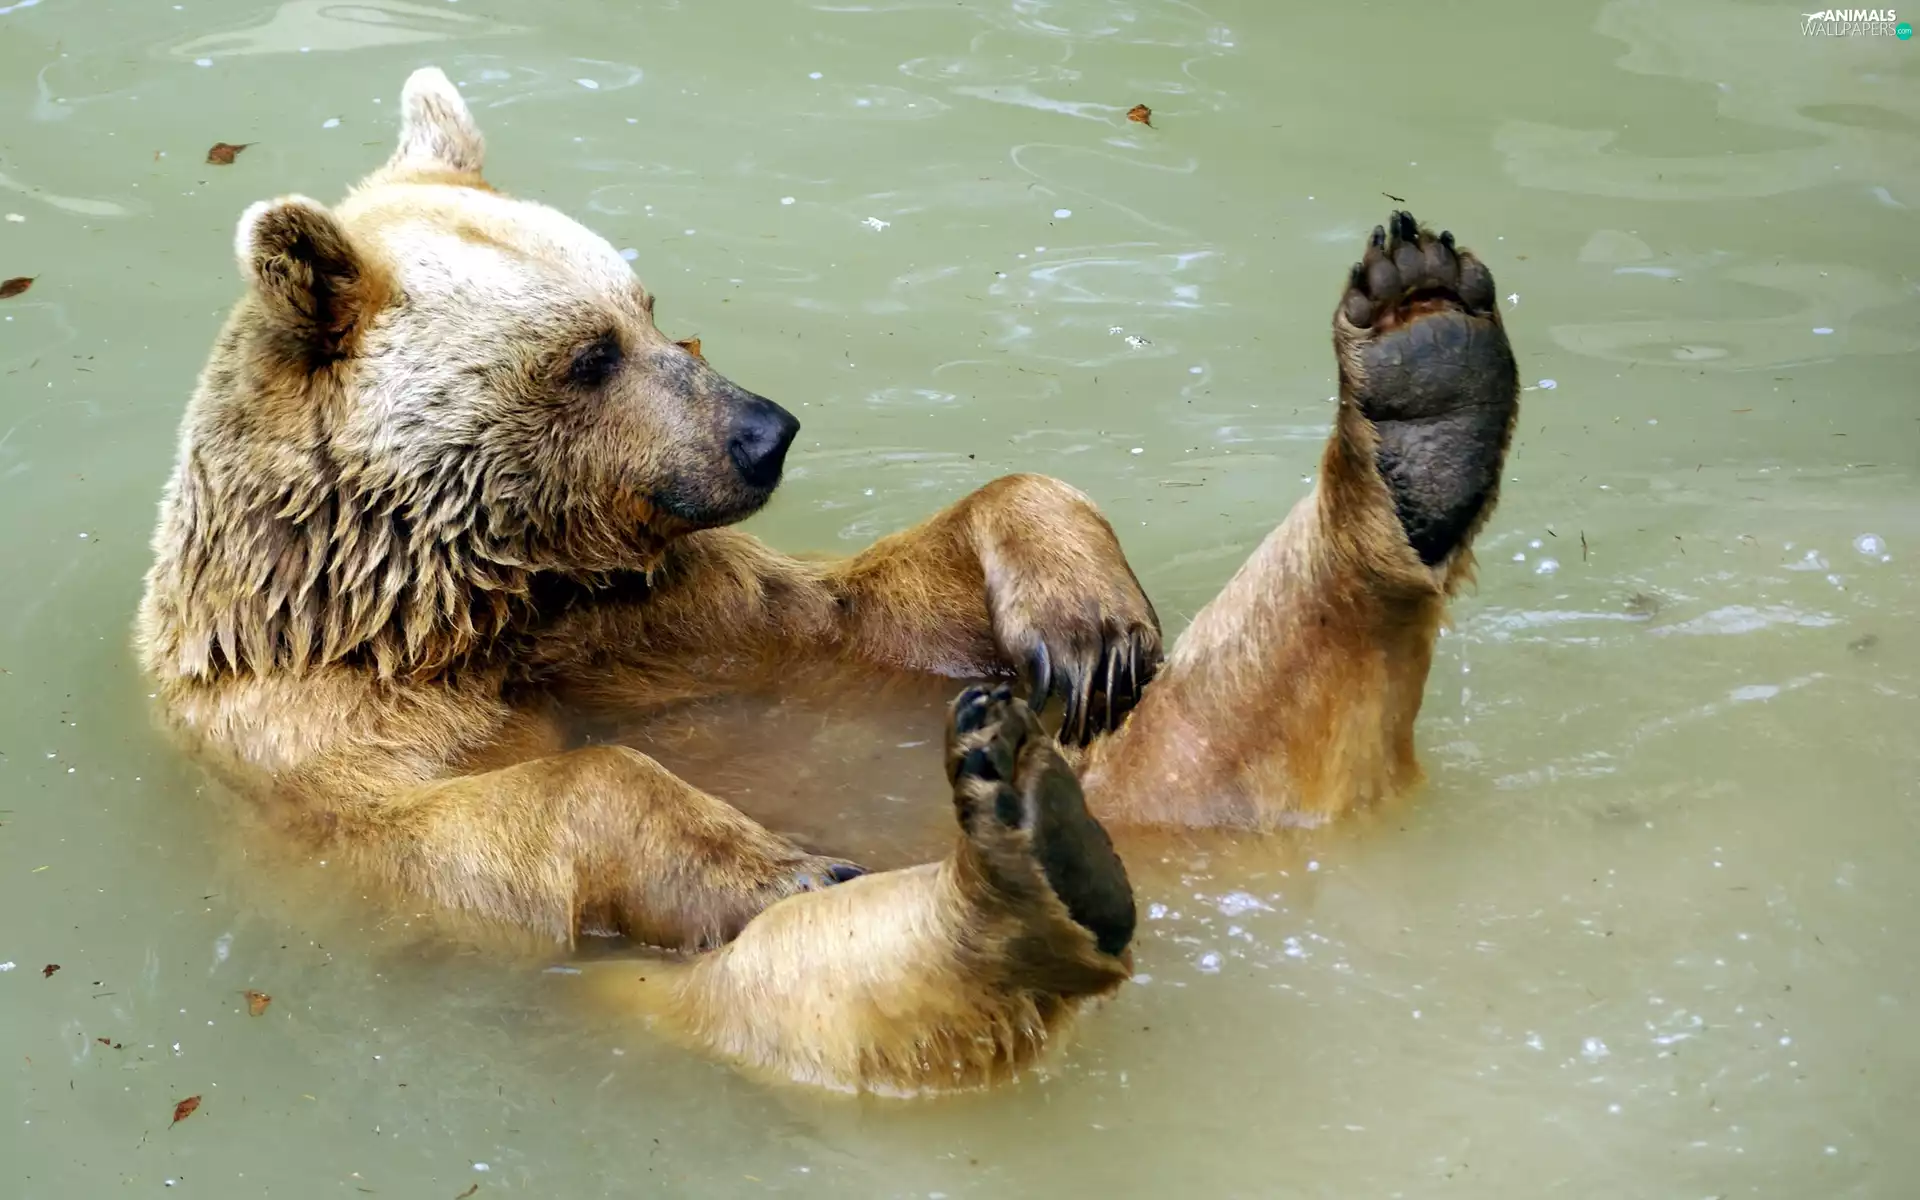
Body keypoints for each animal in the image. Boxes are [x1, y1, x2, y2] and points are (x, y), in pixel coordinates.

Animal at [135, 68, 1518, 1095]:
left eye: (648, 303)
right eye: (587, 356)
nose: (765, 432)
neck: (475, 602)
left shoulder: (690, 621)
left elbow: (874, 607)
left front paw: (1087, 623)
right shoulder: (317, 751)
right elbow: (502, 816)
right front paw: (777, 861)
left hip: (1163, 762)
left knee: (1242, 701)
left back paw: (1424, 373)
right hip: (674, 1000)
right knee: (813, 989)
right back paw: (1026, 862)